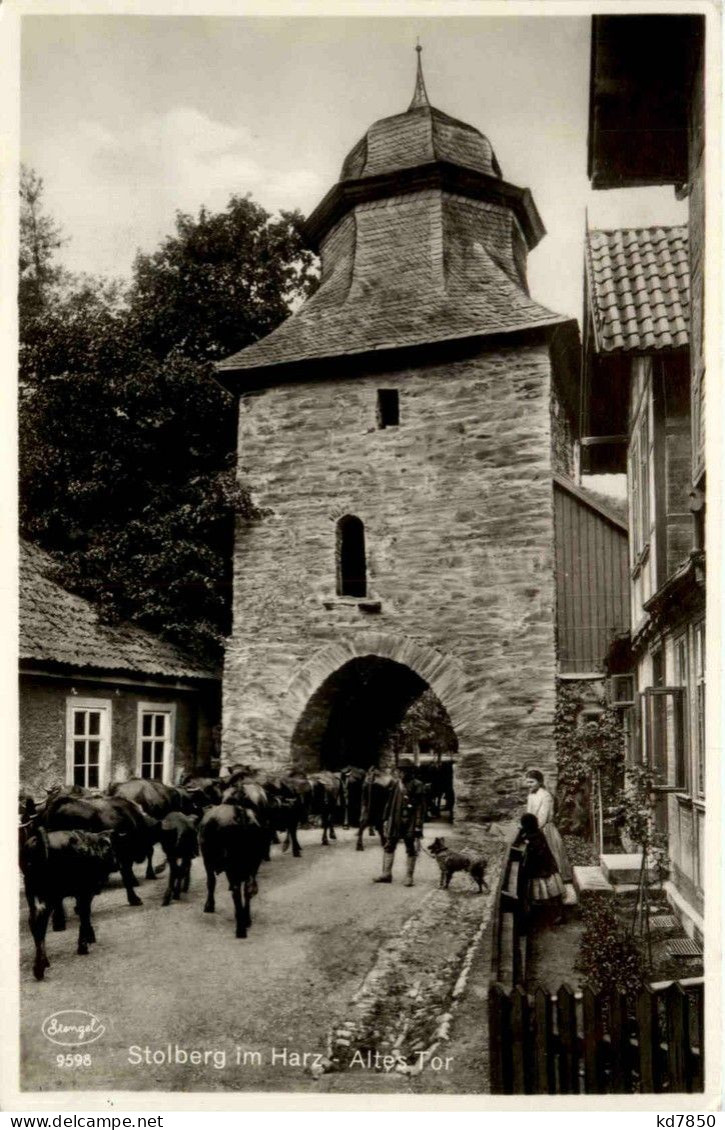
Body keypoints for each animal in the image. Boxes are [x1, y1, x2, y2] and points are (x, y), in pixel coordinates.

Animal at [20, 827, 117, 976]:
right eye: (110, 847)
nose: (116, 863)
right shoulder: (85, 892)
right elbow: (84, 914)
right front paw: (84, 945)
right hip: (50, 894)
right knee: (41, 920)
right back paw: (41, 967)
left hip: (32, 892)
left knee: (34, 921)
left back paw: (40, 966)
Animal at [197, 809, 265, 940]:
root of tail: (241, 813)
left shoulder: (207, 863)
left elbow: (211, 883)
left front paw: (209, 906)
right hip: (254, 865)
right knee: (247, 890)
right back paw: (246, 920)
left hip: (231, 869)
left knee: (236, 892)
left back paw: (240, 930)